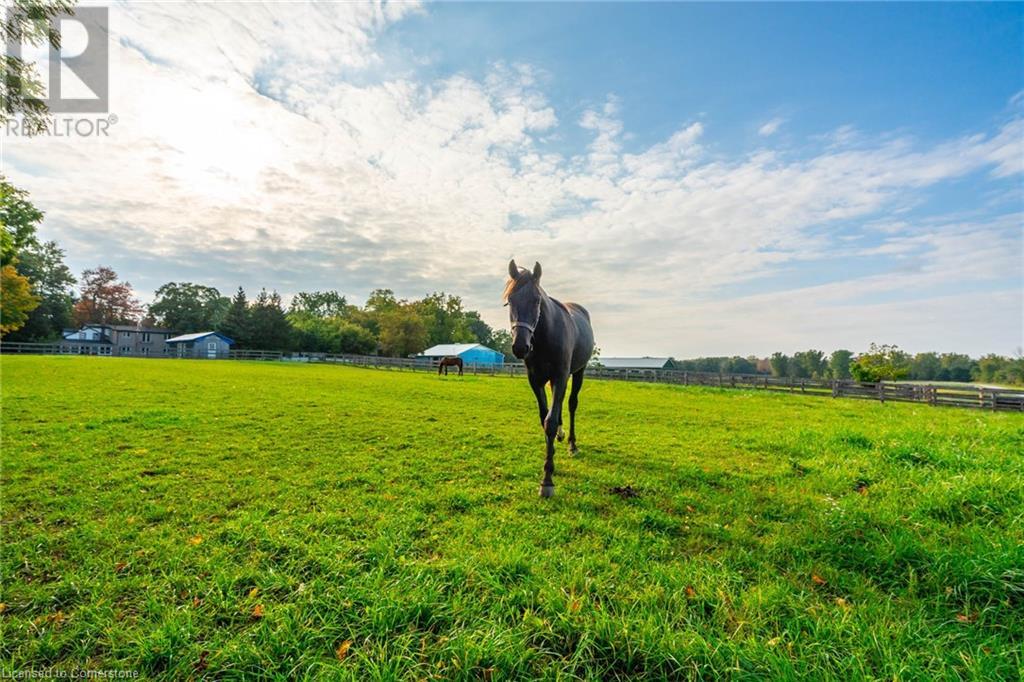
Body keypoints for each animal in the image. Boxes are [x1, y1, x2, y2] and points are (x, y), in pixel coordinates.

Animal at [501, 258, 593, 497]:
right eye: (510, 301)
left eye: (536, 301)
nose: (520, 347)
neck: (545, 337)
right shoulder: (535, 380)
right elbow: (545, 417)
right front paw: (549, 464)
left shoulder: (561, 376)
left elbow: (550, 421)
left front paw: (547, 481)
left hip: (578, 372)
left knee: (571, 404)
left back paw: (571, 444)